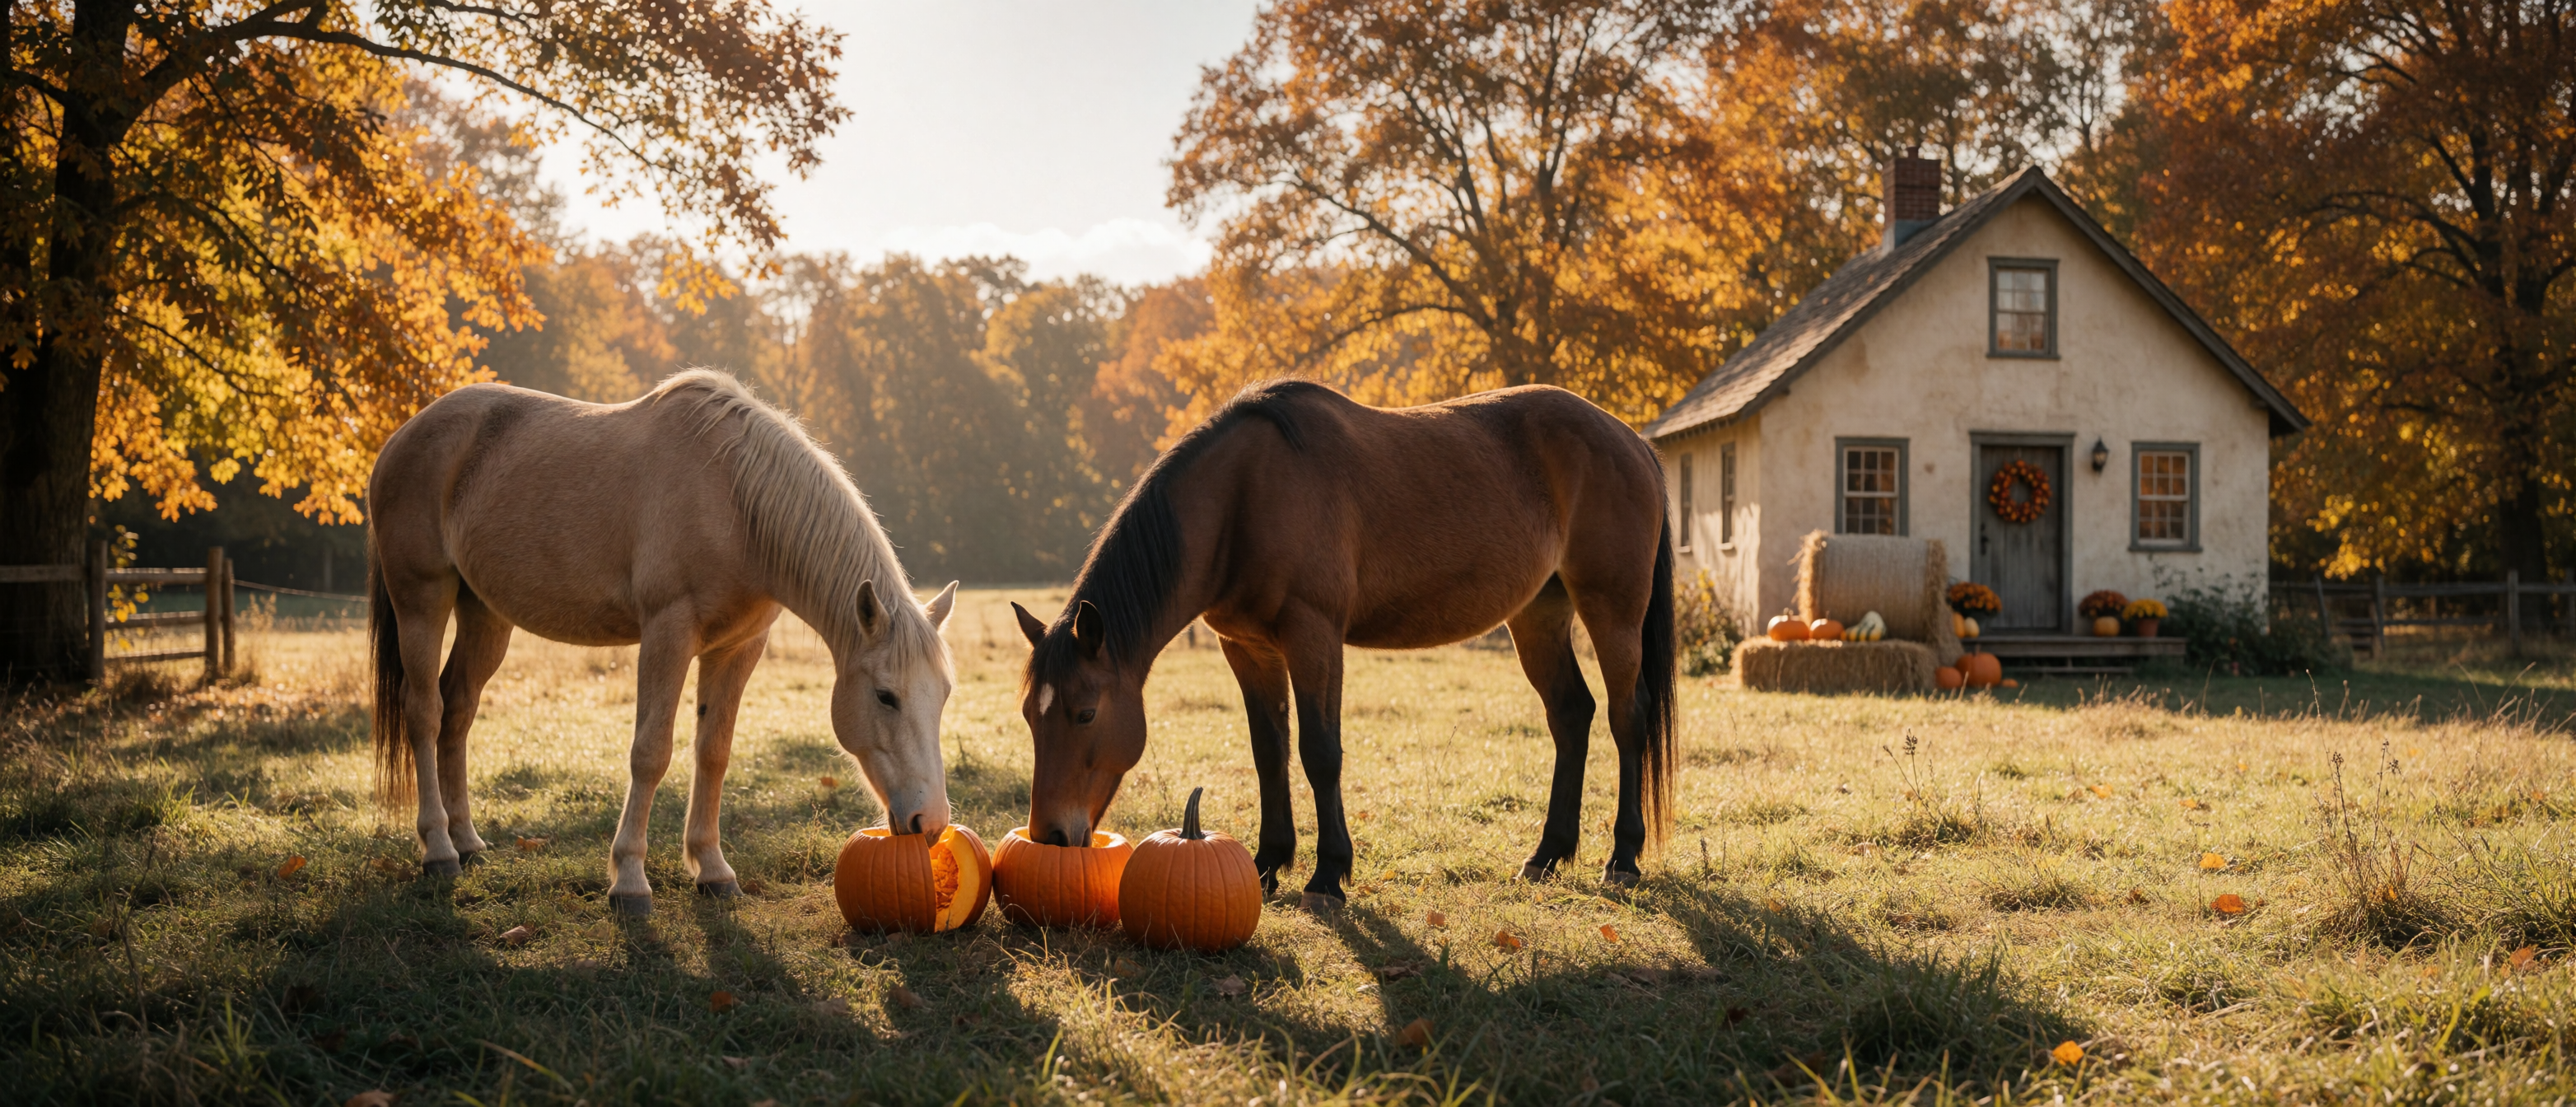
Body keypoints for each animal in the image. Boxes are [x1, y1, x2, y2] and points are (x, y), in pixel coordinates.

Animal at [367, 369, 958, 916]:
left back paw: (468, 842)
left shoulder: (738, 648)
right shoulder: (667, 634)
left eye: (944, 697)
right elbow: (651, 753)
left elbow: (713, 752)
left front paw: (713, 870)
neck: (734, 497)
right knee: (424, 712)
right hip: (422, 599)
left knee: (458, 710)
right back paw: (439, 850)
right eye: (886, 696)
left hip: (485, 616)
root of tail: (403, 437)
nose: (929, 823)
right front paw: (630, 880)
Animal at [1012, 380, 1675, 908]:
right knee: (1571, 714)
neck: (1242, 497)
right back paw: (1546, 855)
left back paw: (1623, 858)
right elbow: (1269, 753)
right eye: (1028, 717)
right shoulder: (1248, 649)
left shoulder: (1314, 636)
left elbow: (1319, 753)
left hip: (1612, 610)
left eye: (1085, 713)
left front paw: (1328, 874)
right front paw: (1267, 864)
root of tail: (1632, 441)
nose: (1050, 836)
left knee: (1626, 717)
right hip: (1539, 615)